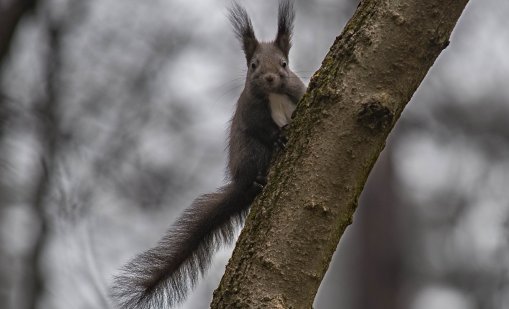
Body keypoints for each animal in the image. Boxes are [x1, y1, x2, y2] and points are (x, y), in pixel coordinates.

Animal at [112, 1, 306, 306]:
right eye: (253, 65)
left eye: (284, 63)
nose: (270, 77)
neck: (273, 95)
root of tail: (240, 185)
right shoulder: (251, 113)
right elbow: (260, 129)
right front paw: (278, 137)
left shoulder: (298, 94)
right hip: (251, 154)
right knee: (255, 167)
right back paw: (259, 179)